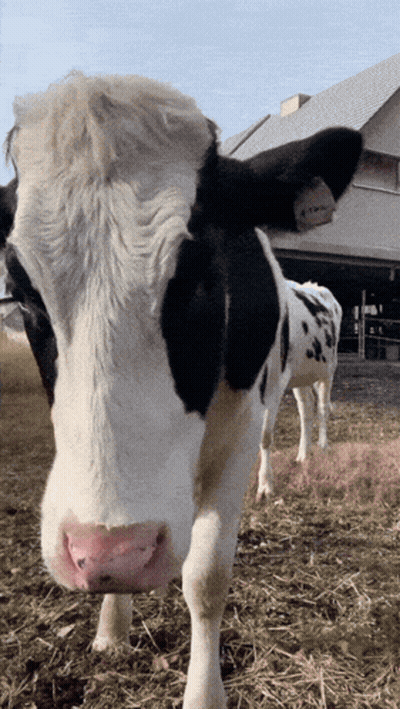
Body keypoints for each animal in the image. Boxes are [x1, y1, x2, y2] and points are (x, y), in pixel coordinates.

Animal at [256, 279, 342, 500]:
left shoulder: (273, 383)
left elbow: (265, 436)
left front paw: (265, 485)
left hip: (328, 370)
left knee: (322, 408)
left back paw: (323, 446)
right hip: (301, 375)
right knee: (306, 410)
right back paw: (304, 454)